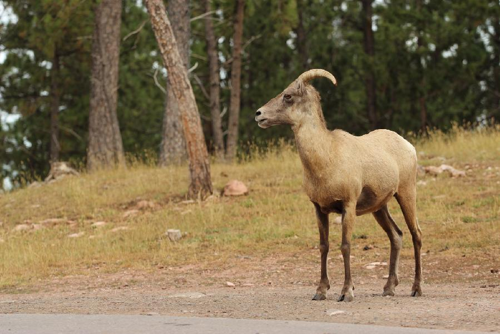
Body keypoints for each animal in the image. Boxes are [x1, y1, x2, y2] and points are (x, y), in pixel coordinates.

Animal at [254, 69, 422, 302]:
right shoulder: (319, 209)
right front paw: (320, 291)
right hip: (380, 208)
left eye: (288, 96)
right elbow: (324, 246)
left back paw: (416, 289)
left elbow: (345, 246)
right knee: (396, 236)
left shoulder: (348, 206)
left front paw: (346, 292)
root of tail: (408, 145)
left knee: (416, 235)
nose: (258, 114)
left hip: (406, 193)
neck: (326, 158)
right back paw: (389, 288)